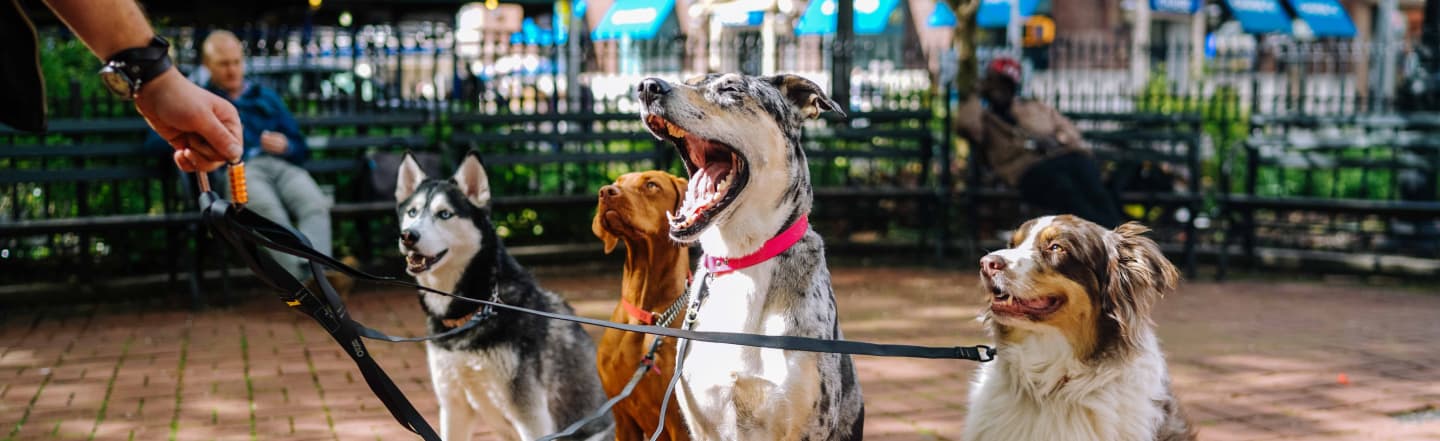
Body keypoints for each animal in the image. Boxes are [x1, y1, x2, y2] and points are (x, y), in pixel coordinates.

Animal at [394, 151, 613, 440]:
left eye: (444, 214)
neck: (477, 308)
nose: (409, 236)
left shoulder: (531, 415)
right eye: (412, 212)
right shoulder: (453, 405)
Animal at [636, 74, 858, 440]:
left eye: (731, 89)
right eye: (689, 80)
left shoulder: (807, 424)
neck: (741, 257)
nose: (647, 86)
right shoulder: (700, 423)